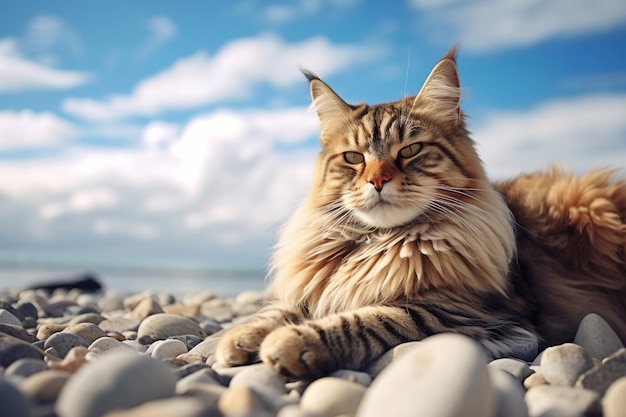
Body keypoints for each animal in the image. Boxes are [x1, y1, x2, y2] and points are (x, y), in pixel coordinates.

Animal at [214, 47, 624, 378]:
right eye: (353, 158)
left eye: (410, 150)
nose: (377, 180)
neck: (381, 242)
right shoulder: (323, 285)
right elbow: (286, 307)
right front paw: (240, 337)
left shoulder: (468, 311)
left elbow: (373, 318)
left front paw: (291, 343)